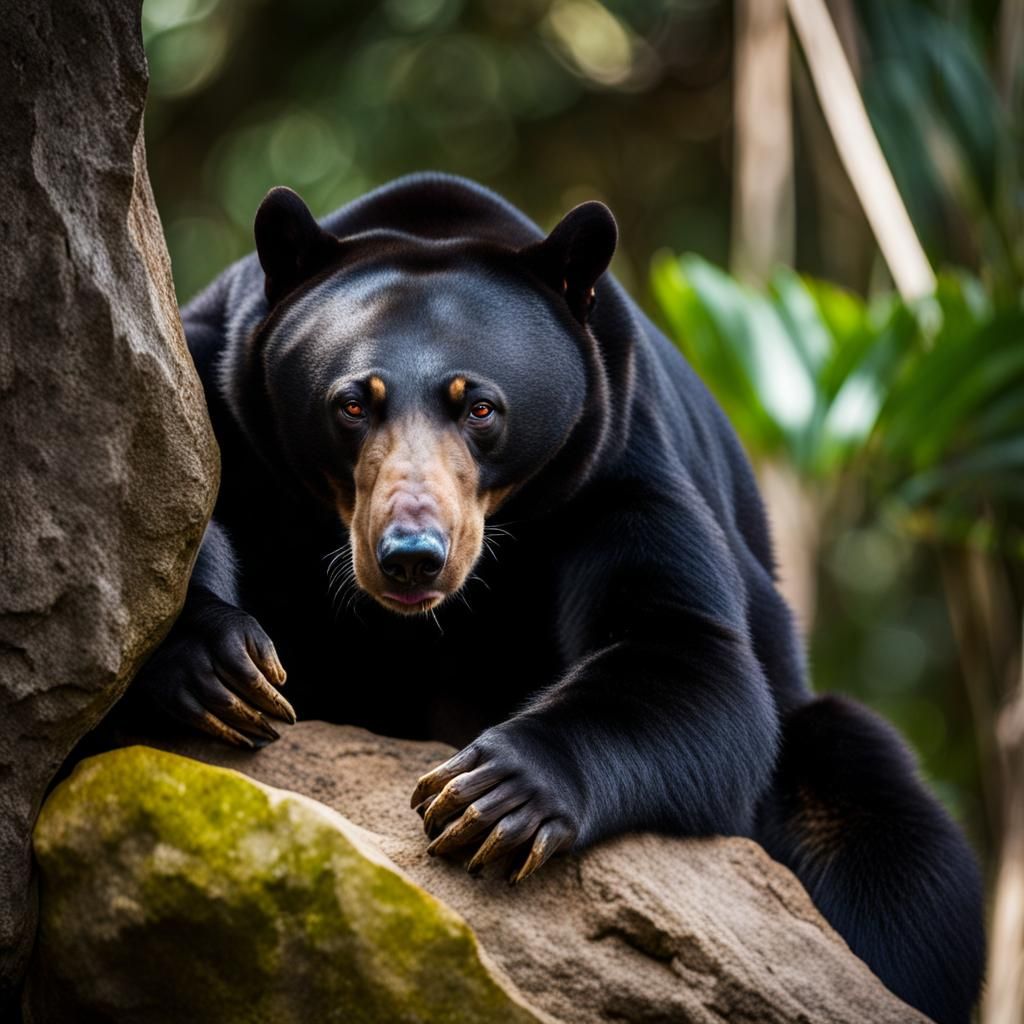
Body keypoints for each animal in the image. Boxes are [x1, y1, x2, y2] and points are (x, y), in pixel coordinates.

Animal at [134, 173, 984, 1023]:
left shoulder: (618, 466)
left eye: (479, 407)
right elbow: (168, 516)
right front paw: (225, 670)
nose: (411, 558)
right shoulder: (223, 394)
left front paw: (491, 795)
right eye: (351, 404)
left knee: (886, 847)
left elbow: (688, 651)